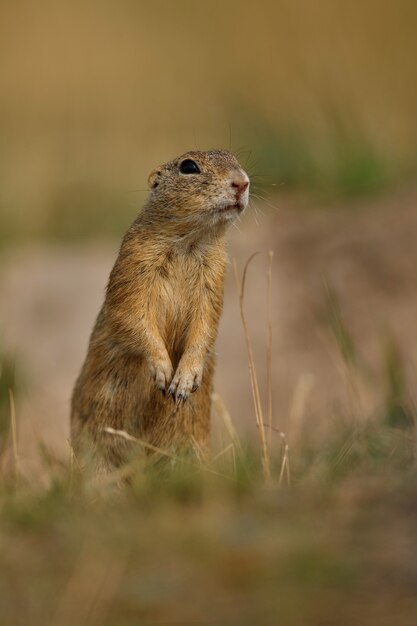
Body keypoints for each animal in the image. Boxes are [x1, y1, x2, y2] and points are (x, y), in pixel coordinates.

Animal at [70, 150, 249, 468]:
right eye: (188, 166)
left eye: (235, 159)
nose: (242, 182)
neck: (190, 242)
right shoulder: (135, 262)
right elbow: (130, 313)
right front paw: (164, 372)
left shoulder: (214, 277)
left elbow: (207, 324)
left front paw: (184, 381)